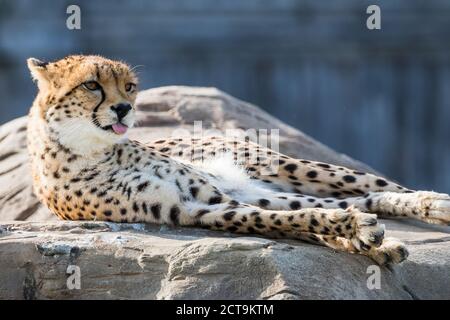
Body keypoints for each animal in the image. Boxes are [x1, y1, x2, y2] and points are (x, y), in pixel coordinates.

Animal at [26, 55, 450, 264]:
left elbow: (303, 219)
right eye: (91, 85)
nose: (124, 109)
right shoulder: (197, 208)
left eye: (129, 86)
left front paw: (368, 237)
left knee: (369, 186)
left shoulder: (209, 197)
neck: (94, 148)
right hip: (257, 188)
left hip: (278, 164)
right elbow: (292, 221)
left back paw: (433, 203)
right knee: (346, 200)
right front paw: (365, 236)